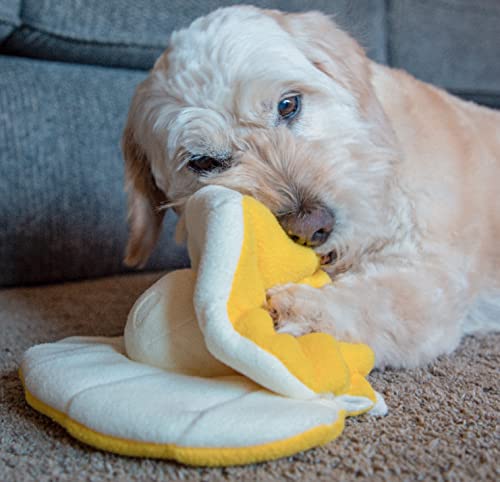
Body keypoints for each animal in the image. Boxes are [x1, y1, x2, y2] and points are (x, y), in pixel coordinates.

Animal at [121, 4, 500, 370]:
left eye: (289, 104)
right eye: (203, 162)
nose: (311, 227)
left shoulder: (434, 287)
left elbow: (382, 302)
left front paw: (302, 310)